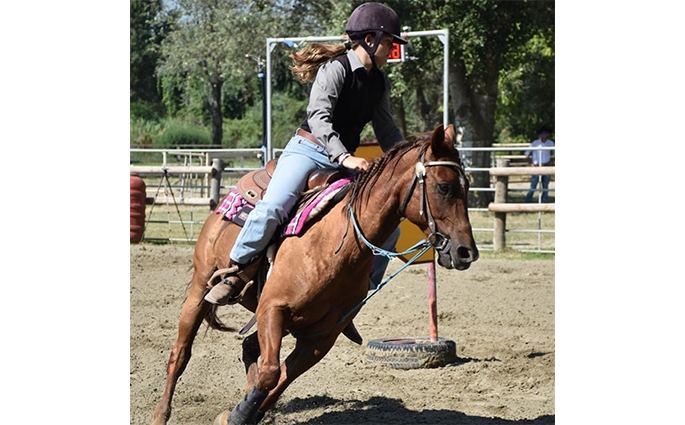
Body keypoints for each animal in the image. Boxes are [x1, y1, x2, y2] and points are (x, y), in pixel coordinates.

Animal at [150, 124, 479, 425]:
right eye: (444, 186)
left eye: (467, 186)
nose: (467, 252)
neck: (336, 245)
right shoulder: (272, 309)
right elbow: (271, 374)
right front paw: (237, 415)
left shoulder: (320, 338)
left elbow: (279, 379)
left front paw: (243, 413)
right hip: (199, 290)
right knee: (180, 354)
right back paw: (160, 414)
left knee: (249, 347)